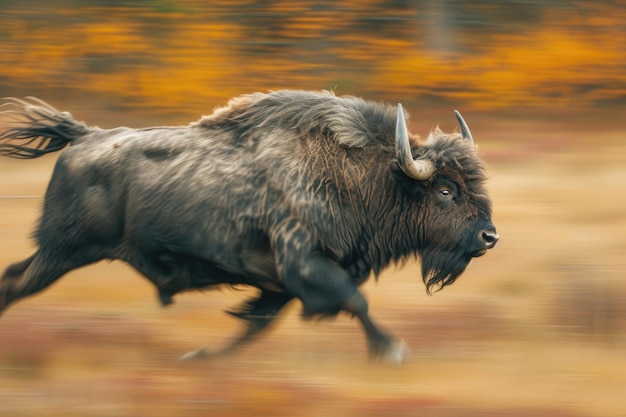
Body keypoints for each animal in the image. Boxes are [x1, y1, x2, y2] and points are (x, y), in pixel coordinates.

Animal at [0, 90, 498, 360]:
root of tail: (84, 137)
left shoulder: (279, 285)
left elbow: (255, 324)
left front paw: (198, 356)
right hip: (63, 252)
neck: (364, 177)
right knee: (15, 282)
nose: (489, 236)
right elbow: (355, 302)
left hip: (60, 254)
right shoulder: (306, 265)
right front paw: (392, 350)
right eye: (446, 190)